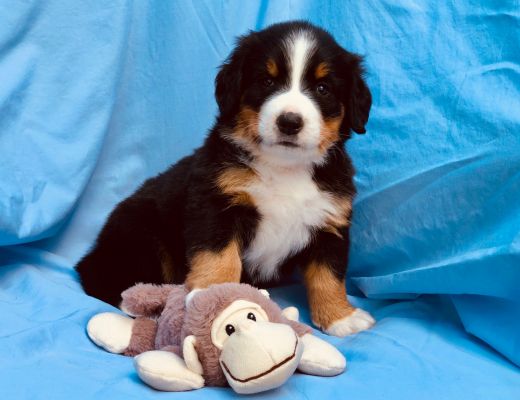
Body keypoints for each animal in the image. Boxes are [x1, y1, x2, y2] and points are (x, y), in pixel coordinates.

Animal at [77, 20, 376, 336]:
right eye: (266, 82)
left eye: (323, 88)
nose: (290, 121)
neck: (284, 167)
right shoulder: (215, 205)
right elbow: (220, 257)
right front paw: (213, 297)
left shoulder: (330, 221)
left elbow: (328, 274)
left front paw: (340, 316)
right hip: (141, 234)